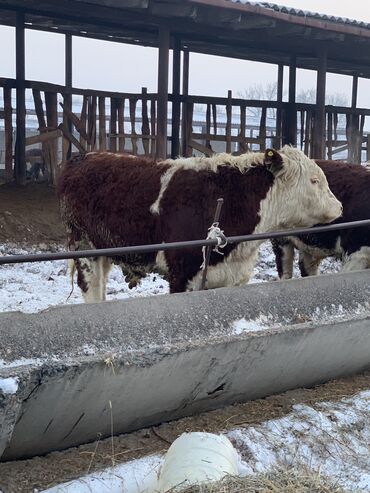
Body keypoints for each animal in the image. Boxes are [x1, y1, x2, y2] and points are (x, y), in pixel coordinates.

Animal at [57, 147, 342, 300]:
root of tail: (83, 157)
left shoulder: (231, 277)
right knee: (92, 290)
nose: (339, 207)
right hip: (85, 249)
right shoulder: (181, 274)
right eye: (314, 180)